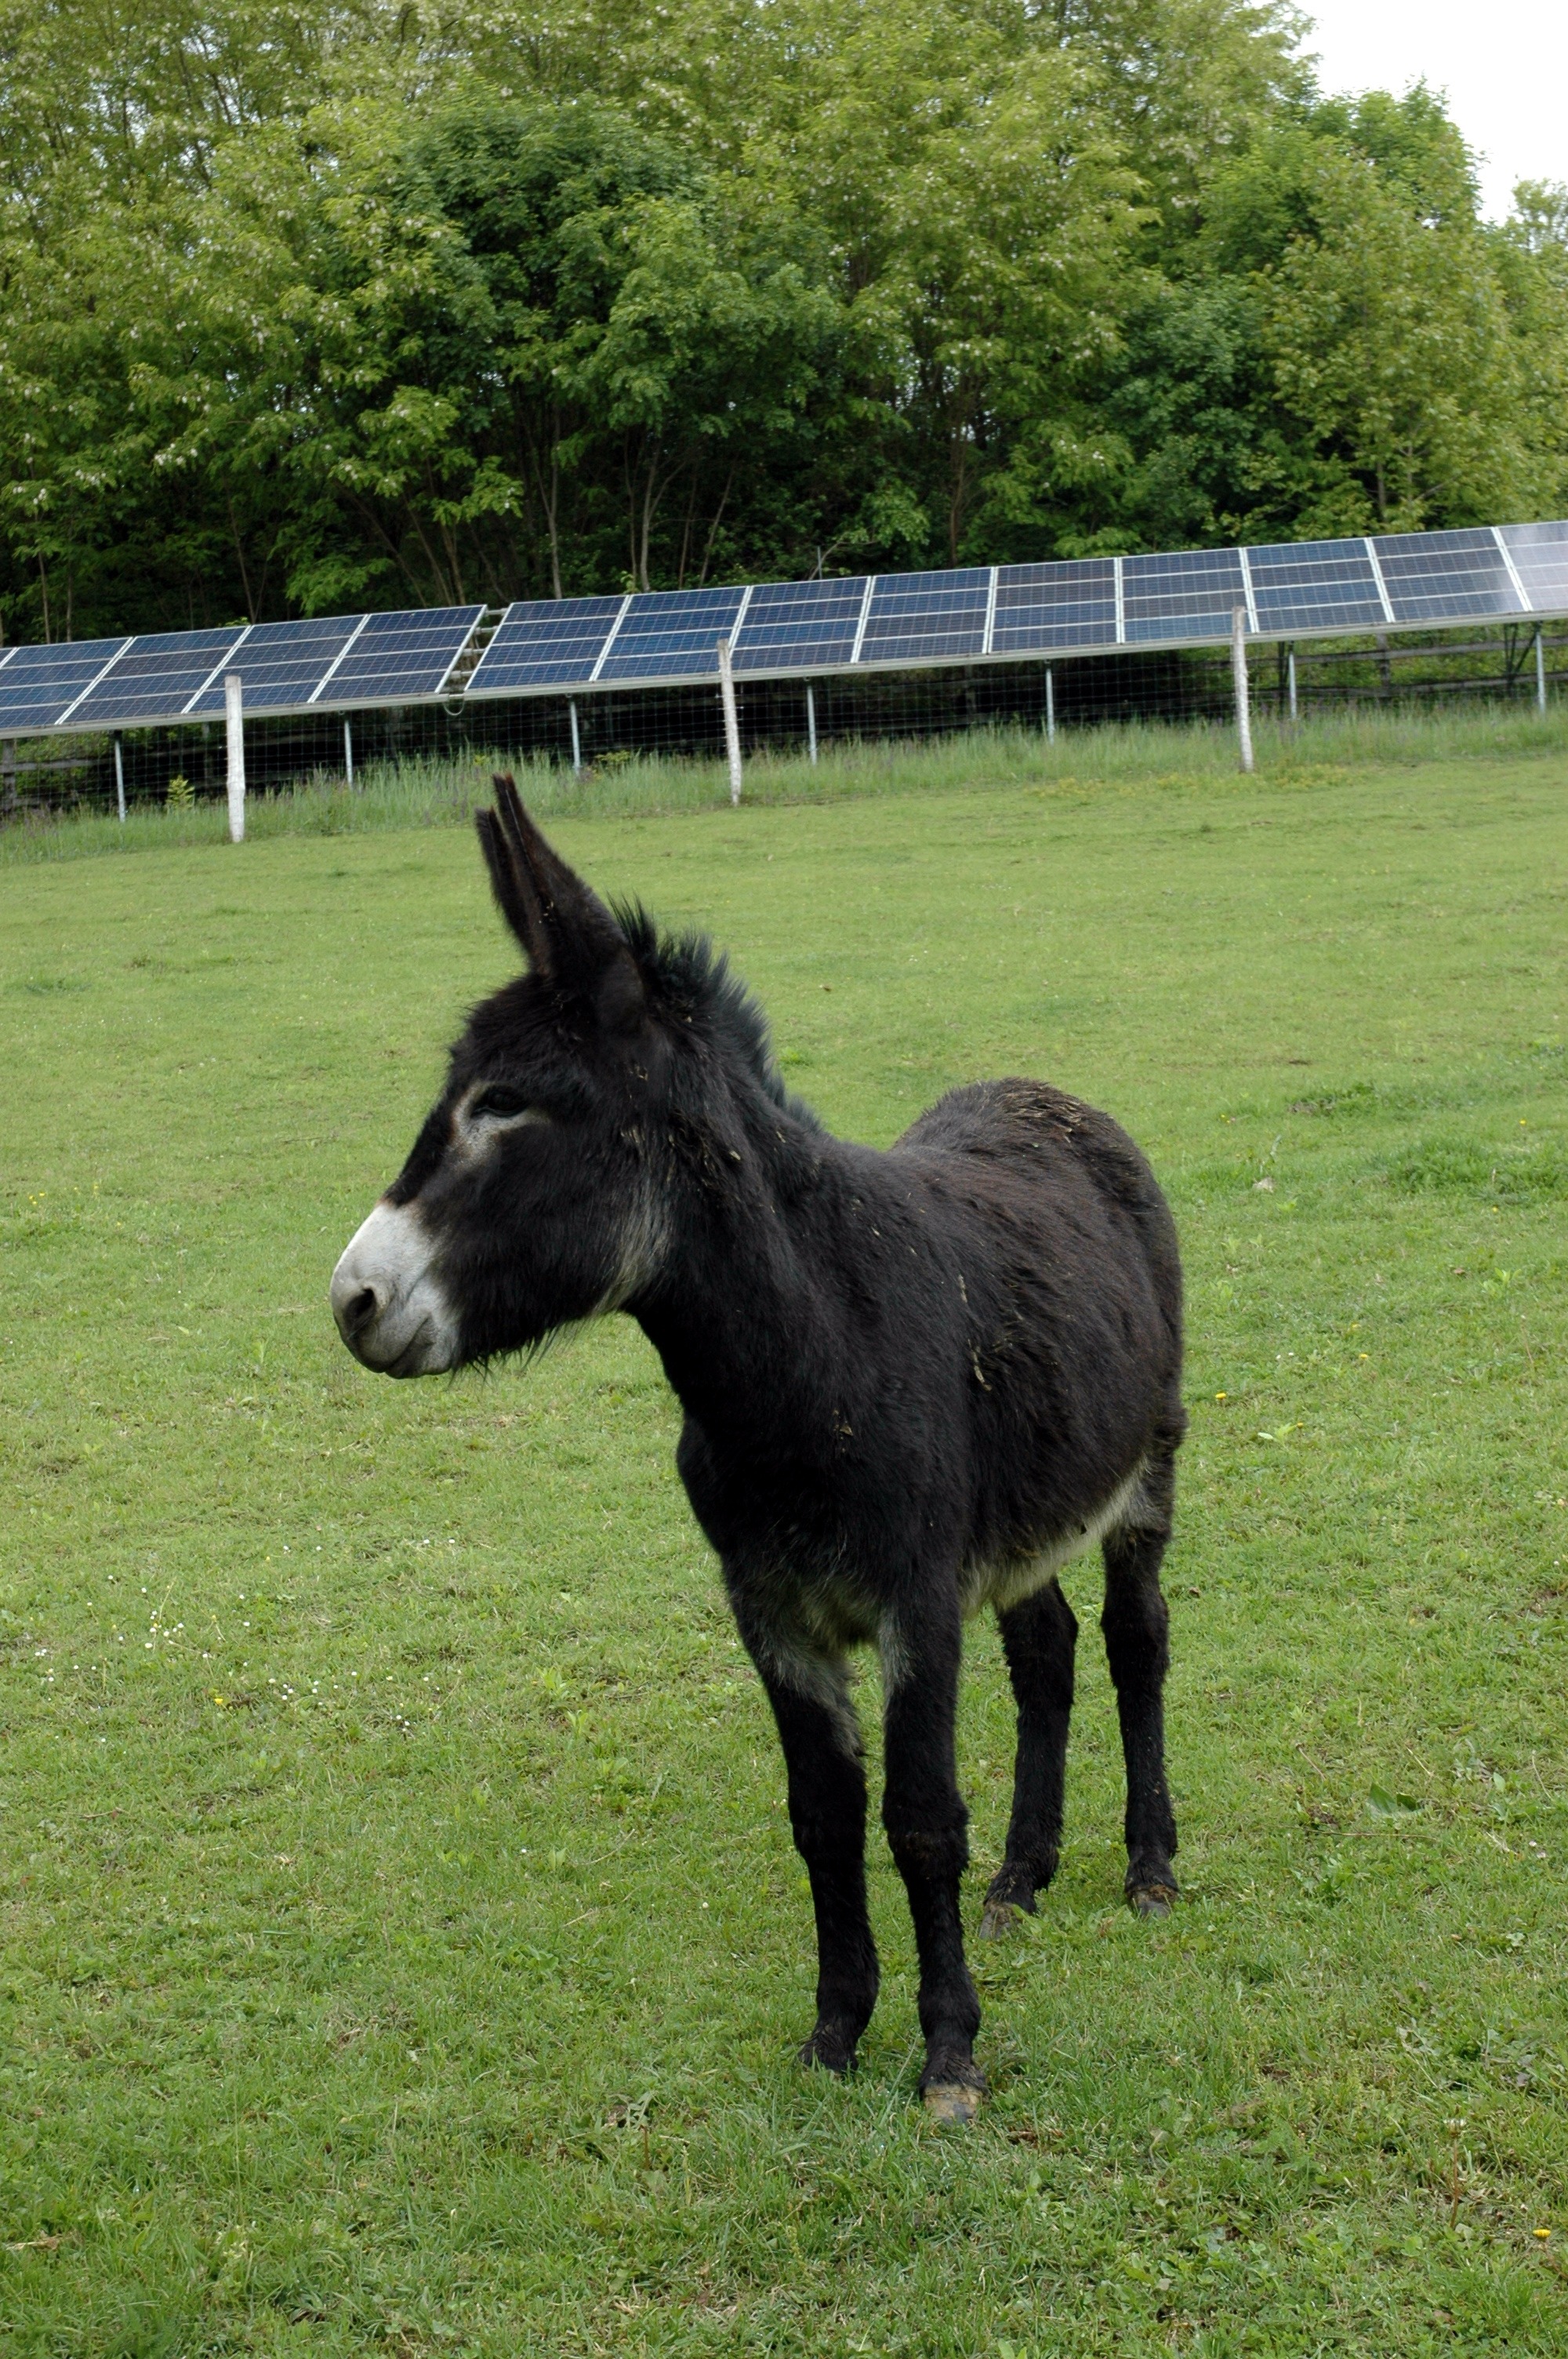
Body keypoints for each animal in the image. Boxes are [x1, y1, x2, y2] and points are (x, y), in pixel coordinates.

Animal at [330, 779, 1186, 2121]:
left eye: (507, 1105)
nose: (351, 1300)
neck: (802, 1367)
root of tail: (1046, 1092)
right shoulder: (772, 1611)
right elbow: (823, 1819)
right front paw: (836, 2033)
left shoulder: (914, 1601)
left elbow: (919, 1818)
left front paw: (949, 2055)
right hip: (1024, 1515)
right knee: (1046, 1654)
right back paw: (1021, 1879)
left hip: (1147, 1466)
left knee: (1136, 1643)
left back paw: (1149, 1867)